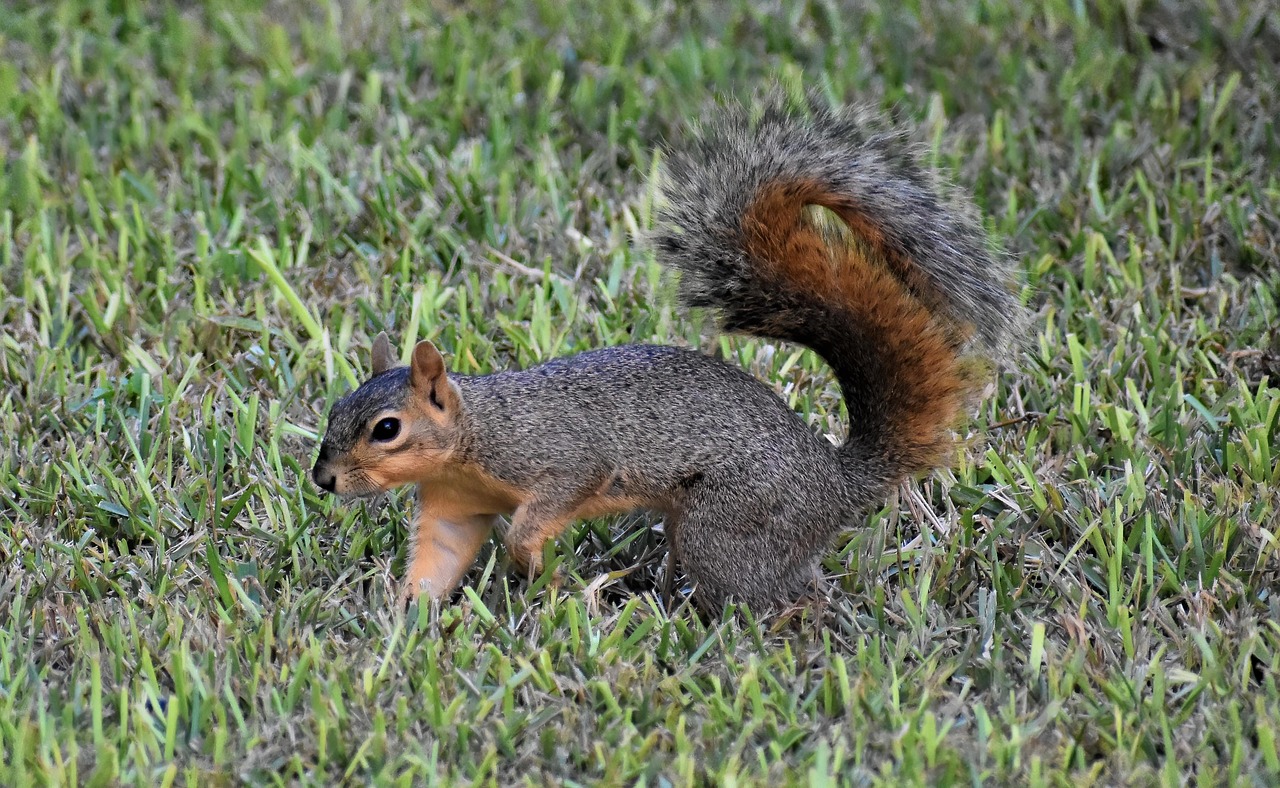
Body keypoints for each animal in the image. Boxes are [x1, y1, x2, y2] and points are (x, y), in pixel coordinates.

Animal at [311, 95, 1025, 612]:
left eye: (386, 429)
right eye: (335, 411)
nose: (323, 480)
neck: (473, 435)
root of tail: (834, 482)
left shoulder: (561, 458)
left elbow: (546, 506)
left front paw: (533, 564)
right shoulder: (455, 505)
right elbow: (440, 555)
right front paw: (404, 613)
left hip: (731, 524)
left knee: (779, 591)